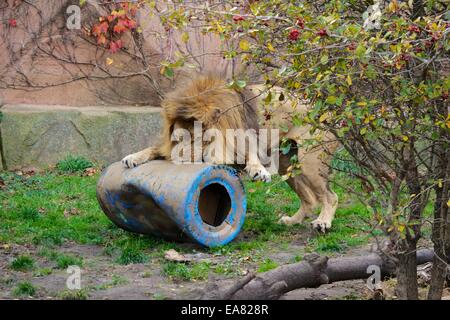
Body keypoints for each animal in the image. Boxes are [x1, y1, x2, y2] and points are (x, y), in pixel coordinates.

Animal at [121, 74, 340, 231]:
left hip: (310, 162)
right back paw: (292, 221)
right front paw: (132, 157)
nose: (178, 159)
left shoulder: (243, 138)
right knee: (309, 200)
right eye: (177, 138)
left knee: (330, 196)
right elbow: (154, 149)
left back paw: (322, 222)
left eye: (195, 138)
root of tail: (329, 112)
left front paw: (258, 172)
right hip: (287, 164)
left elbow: (250, 154)